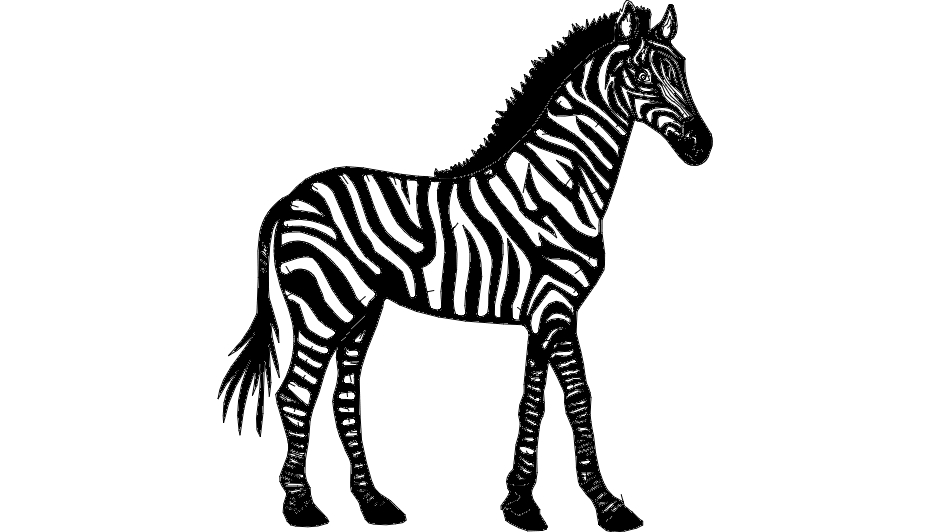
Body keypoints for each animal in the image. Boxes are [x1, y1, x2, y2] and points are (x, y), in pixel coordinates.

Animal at [219, 2, 712, 531]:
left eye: (683, 70)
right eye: (642, 76)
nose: (701, 145)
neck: (560, 185)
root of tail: (292, 196)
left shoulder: (541, 314)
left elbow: (532, 403)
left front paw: (520, 503)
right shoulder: (558, 309)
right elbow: (578, 400)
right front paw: (607, 505)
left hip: (360, 309)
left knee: (343, 399)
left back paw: (373, 502)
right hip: (322, 308)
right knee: (295, 395)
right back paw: (300, 505)